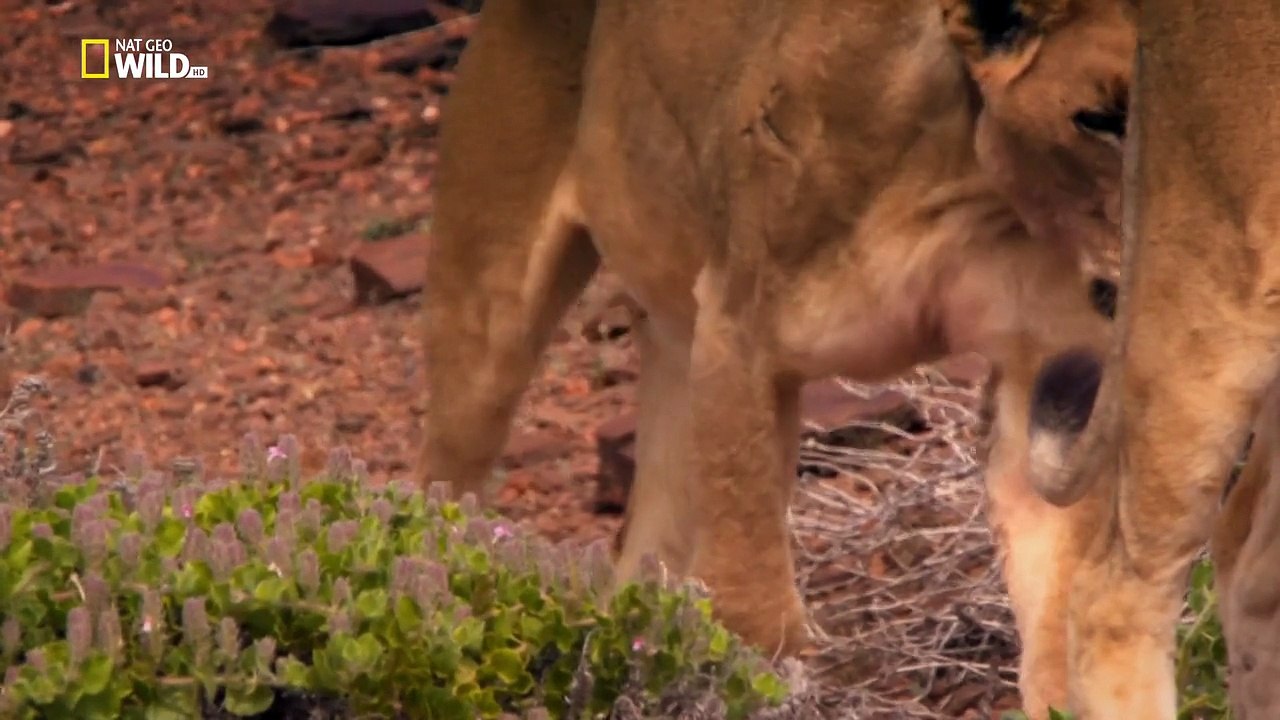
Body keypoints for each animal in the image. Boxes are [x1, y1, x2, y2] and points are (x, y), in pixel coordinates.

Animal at [417, 0, 1134, 716]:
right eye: (1099, 120)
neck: (973, 192)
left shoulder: (1050, 368)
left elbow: (1056, 601)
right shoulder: (739, 336)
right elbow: (754, 601)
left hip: (676, 350)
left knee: (640, 557)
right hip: (489, 325)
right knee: (438, 499)